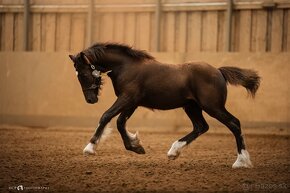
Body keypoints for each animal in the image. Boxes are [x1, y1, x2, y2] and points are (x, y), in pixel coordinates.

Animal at [68, 41, 260, 167]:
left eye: (83, 74)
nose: (90, 100)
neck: (126, 67)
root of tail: (219, 71)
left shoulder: (127, 98)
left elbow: (106, 116)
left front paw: (90, 148)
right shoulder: (132, 102)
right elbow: (120, 122)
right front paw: (136, 146)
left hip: (213, 107)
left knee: (234, 123)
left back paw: (241, 161)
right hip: (191, 106)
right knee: (201, 127)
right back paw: (173, 152)